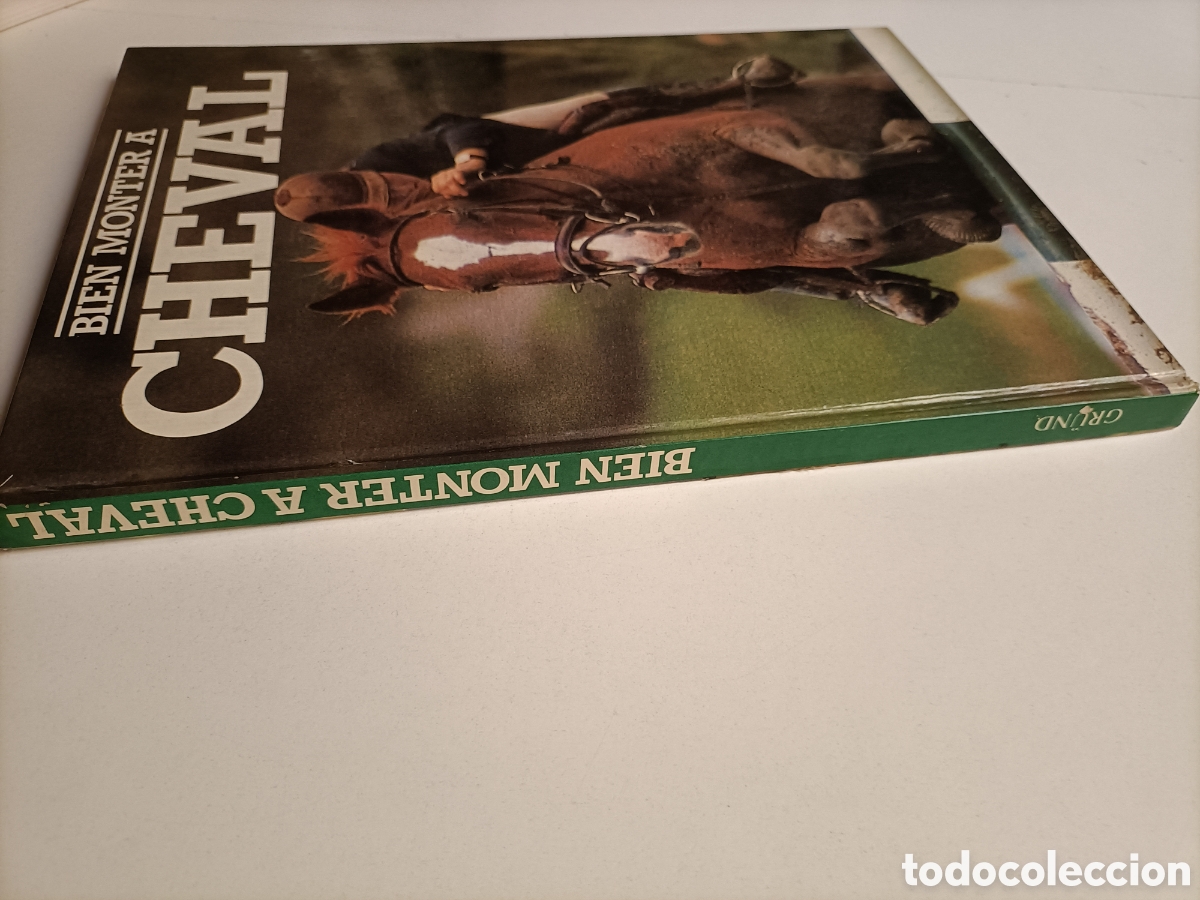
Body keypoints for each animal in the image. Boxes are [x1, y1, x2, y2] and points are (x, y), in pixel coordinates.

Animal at [274, 69, 1002, 325]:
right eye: (482, 290)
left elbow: (830, 159)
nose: (669, 240)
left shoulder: (741, 128)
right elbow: (836, 229)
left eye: (469, 211)